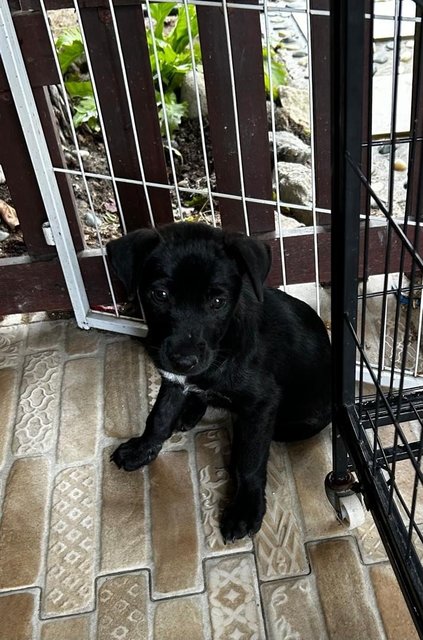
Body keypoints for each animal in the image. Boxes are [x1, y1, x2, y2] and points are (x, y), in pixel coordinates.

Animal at [107, 222, 332, 544]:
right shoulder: (172, 380)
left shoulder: (261, 403)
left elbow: (249, 460)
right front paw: (142, 448)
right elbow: (158, 418)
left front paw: (244, 509)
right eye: (159, 294)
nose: (184, 360)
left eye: (217, 302)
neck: (224, 346)